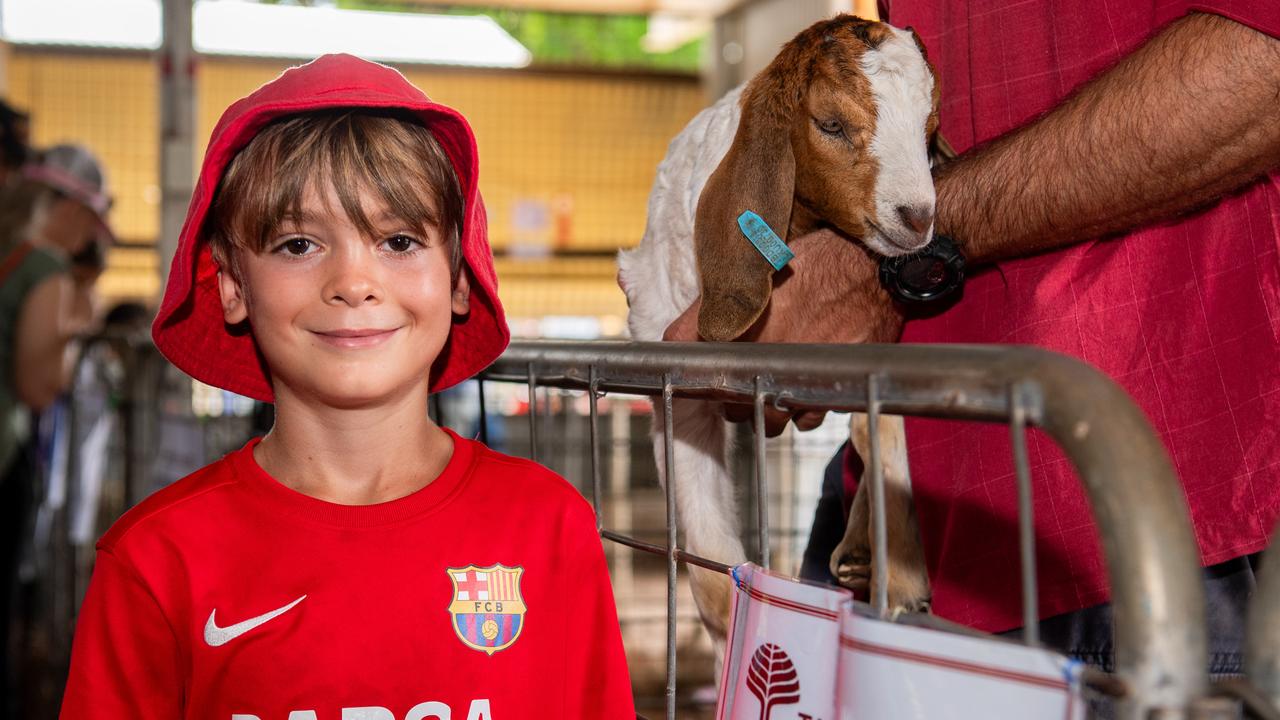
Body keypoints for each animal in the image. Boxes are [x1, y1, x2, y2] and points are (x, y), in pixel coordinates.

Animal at [614, 14, 947, 648]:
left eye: (929, 128)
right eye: (831, 124)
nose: (918, 217)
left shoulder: (864, 345)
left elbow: (879, 427)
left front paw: (903, 578)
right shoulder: (677, 386)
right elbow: (714, 584)